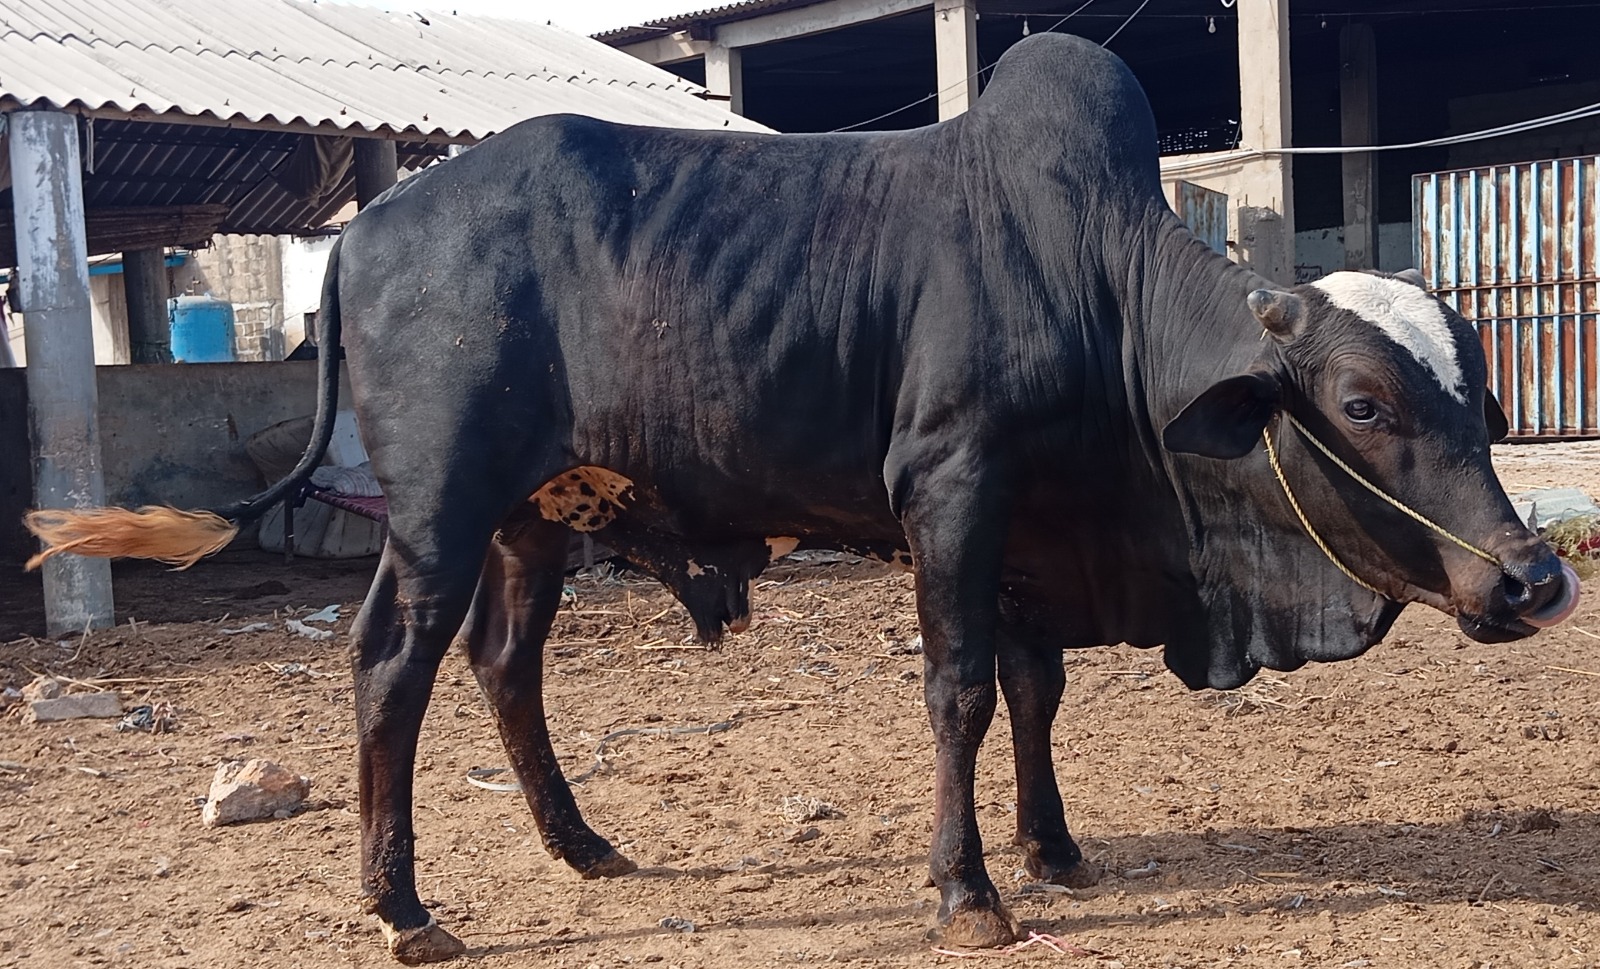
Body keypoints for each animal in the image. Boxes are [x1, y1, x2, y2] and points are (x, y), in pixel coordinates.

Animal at [25, 32, 1579, 963]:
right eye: (1363, 404)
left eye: (1487, 397)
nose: (1533, 578)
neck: (1098, 291)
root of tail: (362, 232)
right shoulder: (952, 484)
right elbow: (961, 691)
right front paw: (967, 890)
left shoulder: (1030, 528)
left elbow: (1035, 693)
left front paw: (1055, 848)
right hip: (439, 512)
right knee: (393, 667)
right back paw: (403, 905)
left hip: (535, 520)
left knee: (506, 667)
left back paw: (584, 844)